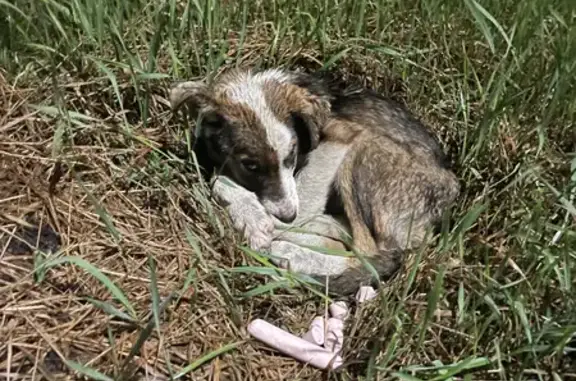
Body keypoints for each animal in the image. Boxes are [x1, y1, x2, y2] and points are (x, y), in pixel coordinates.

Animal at [168, 67, 460, 294]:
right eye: (250, 166)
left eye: (292, 155)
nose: (285, 216)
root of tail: (451, 194)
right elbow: (219, 179)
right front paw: (250, 214)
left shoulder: (341, 137)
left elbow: (299, 200)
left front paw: (259, 223)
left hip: (365, 149)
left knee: (367, 252)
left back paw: (290, 252)